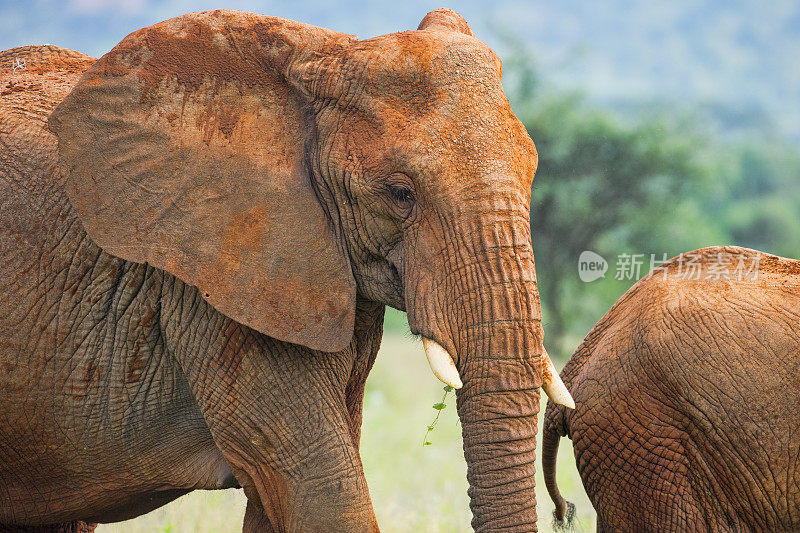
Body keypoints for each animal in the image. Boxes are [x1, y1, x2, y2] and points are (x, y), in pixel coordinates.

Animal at [0, 7, 576, 532]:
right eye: (399, 193)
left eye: (533, 172)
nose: (565, 510)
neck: (318, 58)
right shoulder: (215, 286)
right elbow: (320, 493)